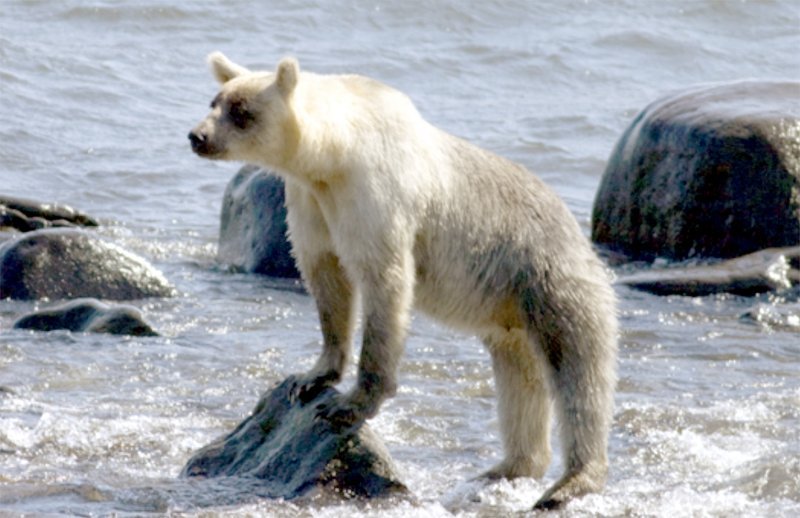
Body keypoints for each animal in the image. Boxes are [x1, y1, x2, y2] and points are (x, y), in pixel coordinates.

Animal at [188, 53, 620, 512]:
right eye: (215, 101)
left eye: (241, 111)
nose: (197, 136)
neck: (335, 153)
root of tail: (580, 237)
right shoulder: (311, 200)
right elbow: (326, 278)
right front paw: (312, 377)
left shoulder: (375, 197)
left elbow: (384, 283)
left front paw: (349, 404)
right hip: (510, 315)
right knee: (520, 380)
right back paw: (507, 466)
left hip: (553, 281)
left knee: (579, 375)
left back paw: (570, 482)